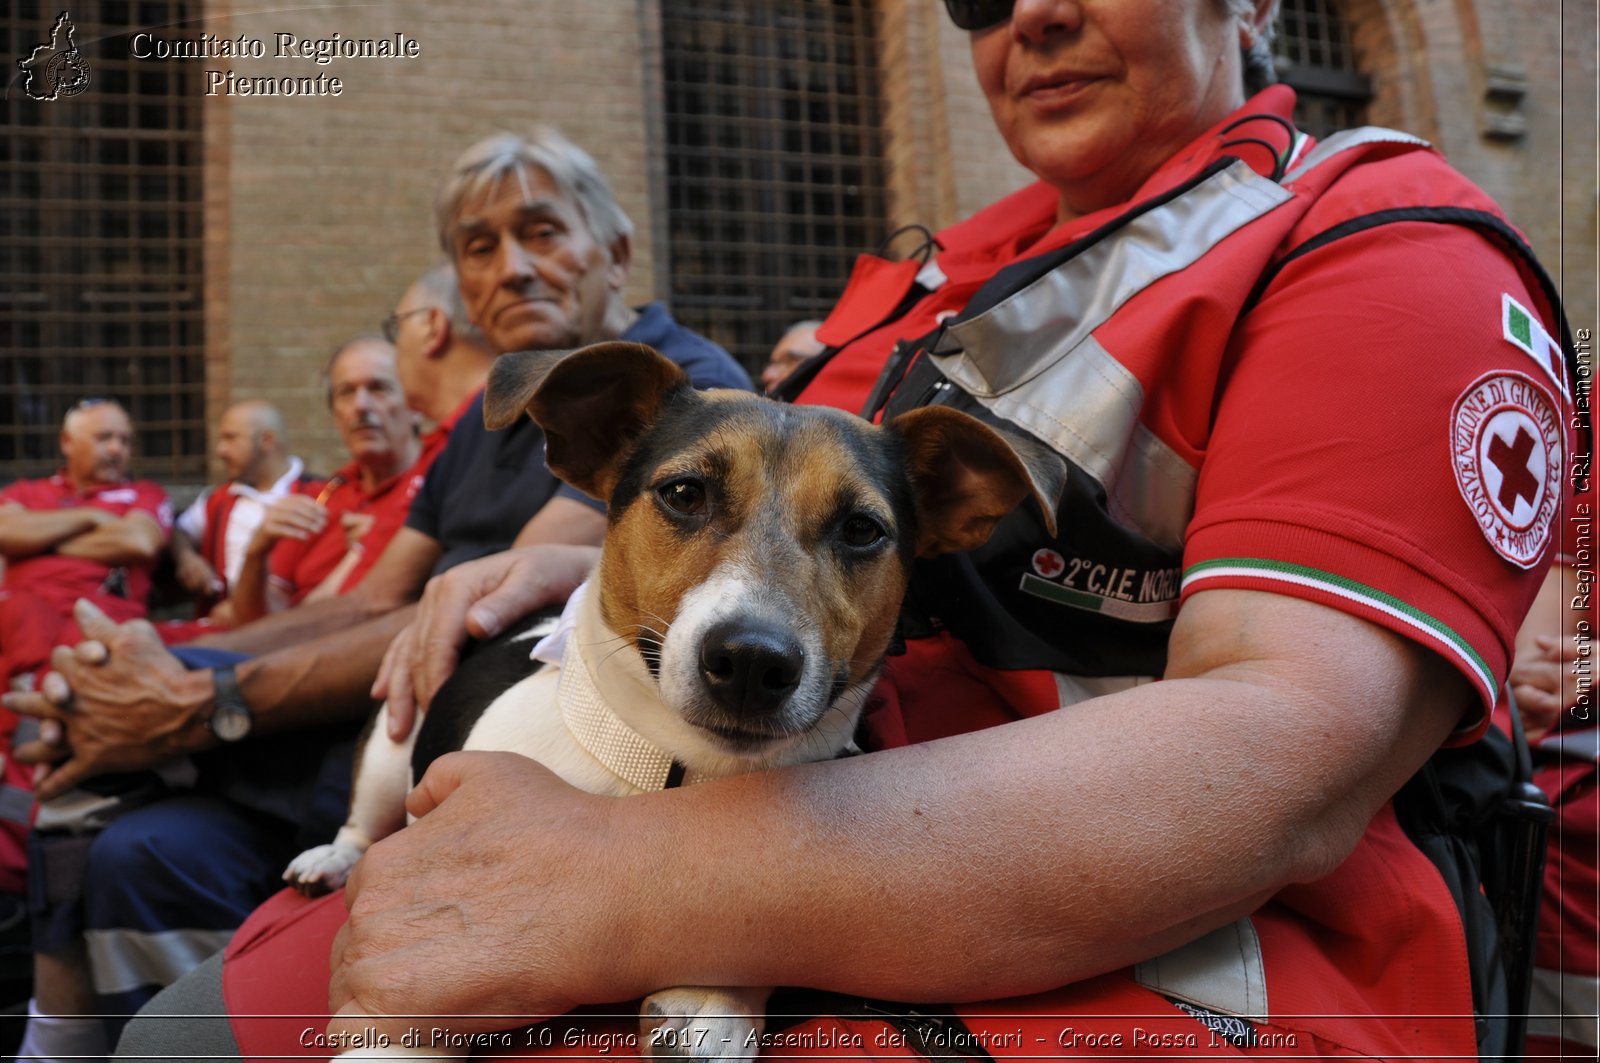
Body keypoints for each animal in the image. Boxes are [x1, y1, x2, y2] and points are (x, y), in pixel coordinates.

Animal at [284, 344, 1062, 1056]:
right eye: (684, 493)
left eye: (862, 530)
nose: (752, 661)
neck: (668, 771)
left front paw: (713, 996)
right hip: (391, 742)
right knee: (364, 820)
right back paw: (330, 857)